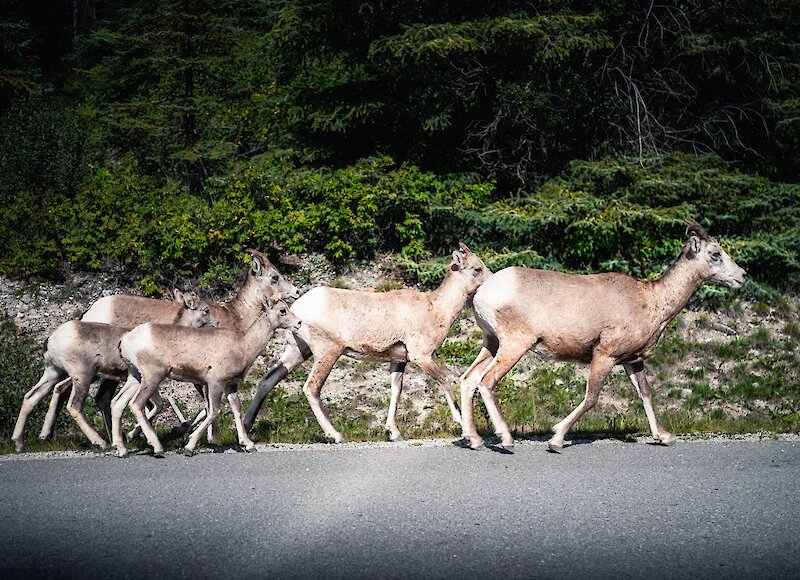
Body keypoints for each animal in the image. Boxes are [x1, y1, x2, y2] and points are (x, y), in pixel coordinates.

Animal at [13, 290, 212, 454]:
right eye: (206, 311)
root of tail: (52, 338)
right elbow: (156, 406)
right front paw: (135, 438)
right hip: (83, 376)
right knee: (74, 404)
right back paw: (101, 442)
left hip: (54, 372)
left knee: (32, 397)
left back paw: (21, 443)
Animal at [39, 247, 300, 442]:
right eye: (275, 277)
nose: (296, 291)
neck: (237, 319)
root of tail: (92, 311)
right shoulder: (207, 377)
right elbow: (209, 407)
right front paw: (207, 438)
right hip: (92, 370)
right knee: (68, 392)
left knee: (95, 397)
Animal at [112, 300, 300, 458]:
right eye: (282, 310)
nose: (298, 323)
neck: (243, 345)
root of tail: (127, 339)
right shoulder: (215, 383)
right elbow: (214, 411)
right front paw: (189, 447)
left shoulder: (230, 386)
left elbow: (236, 410)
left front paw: (248, 444)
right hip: (152, 377)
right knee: (136, 404)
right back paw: (157, 448)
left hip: (135, 376)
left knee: (117, 403)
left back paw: (122, 450)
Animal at [242, 242, 494, 442]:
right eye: (477, 268)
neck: (437, 309)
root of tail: (299, 308)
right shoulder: (421, 356)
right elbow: (445, 380)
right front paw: (462, 425)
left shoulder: (398, 361)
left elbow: (396, 391)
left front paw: (394, 433)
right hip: (327, 352)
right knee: (311, 388)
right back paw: (337, 436)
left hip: (297, 351)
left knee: (268, 379)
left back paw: (246, 425)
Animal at [460, 220, 748, 450]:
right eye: (715, 254)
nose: (742, 276)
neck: (652, 301)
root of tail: (484, 291)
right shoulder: (604, 355)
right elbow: (592, 397)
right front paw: (556, 438)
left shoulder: (632, 361)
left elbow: (646, 393)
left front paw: (663, 437)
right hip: (514, 345)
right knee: (486, 382)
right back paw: (506, 440)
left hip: (492, 343)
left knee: (468, 380)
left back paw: (475, 440)